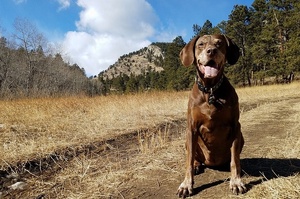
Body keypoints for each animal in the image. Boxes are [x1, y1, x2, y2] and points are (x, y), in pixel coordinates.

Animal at [177, 34, 245, 197]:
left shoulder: (235, 126)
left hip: (242, 136)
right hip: (188, 142)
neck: (211, 89)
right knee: (194, 157)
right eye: (201, 44)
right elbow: (188, 161)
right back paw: (197, 165)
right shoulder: (191, 128)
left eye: (219, 43)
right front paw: (186, 184)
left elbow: (235, 160)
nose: (211, 51)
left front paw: (236, 181)